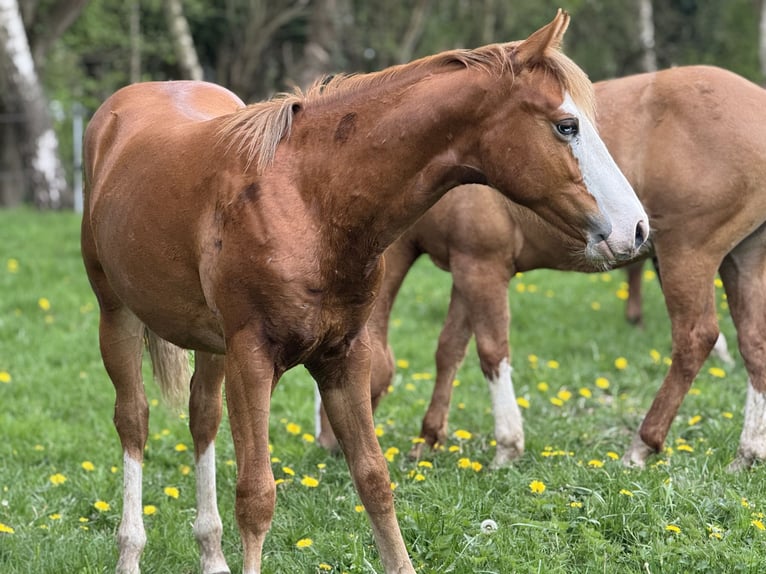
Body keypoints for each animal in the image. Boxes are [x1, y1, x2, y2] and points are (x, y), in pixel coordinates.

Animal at [81, 11, 648, 574]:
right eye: (567, 125)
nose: (637, 229)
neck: (309, 200)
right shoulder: (253, 361)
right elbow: (257, 497)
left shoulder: (345, 357)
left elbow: (374, 479)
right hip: (118, 318)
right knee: (133, 422)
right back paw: (129, 550)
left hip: (209, 344)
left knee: (203, 420)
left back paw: (211, 553)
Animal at [316, 65, 766, 471]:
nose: (326, 443)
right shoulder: (467, 270)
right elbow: (449, 350)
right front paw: (429, 438)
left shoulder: (483, 268)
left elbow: (491, 352)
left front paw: (506, 446)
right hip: (741, 259)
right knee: (754, 343)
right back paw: (747, 452)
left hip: (686, 255)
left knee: (695, 340)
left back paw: (643, 443)